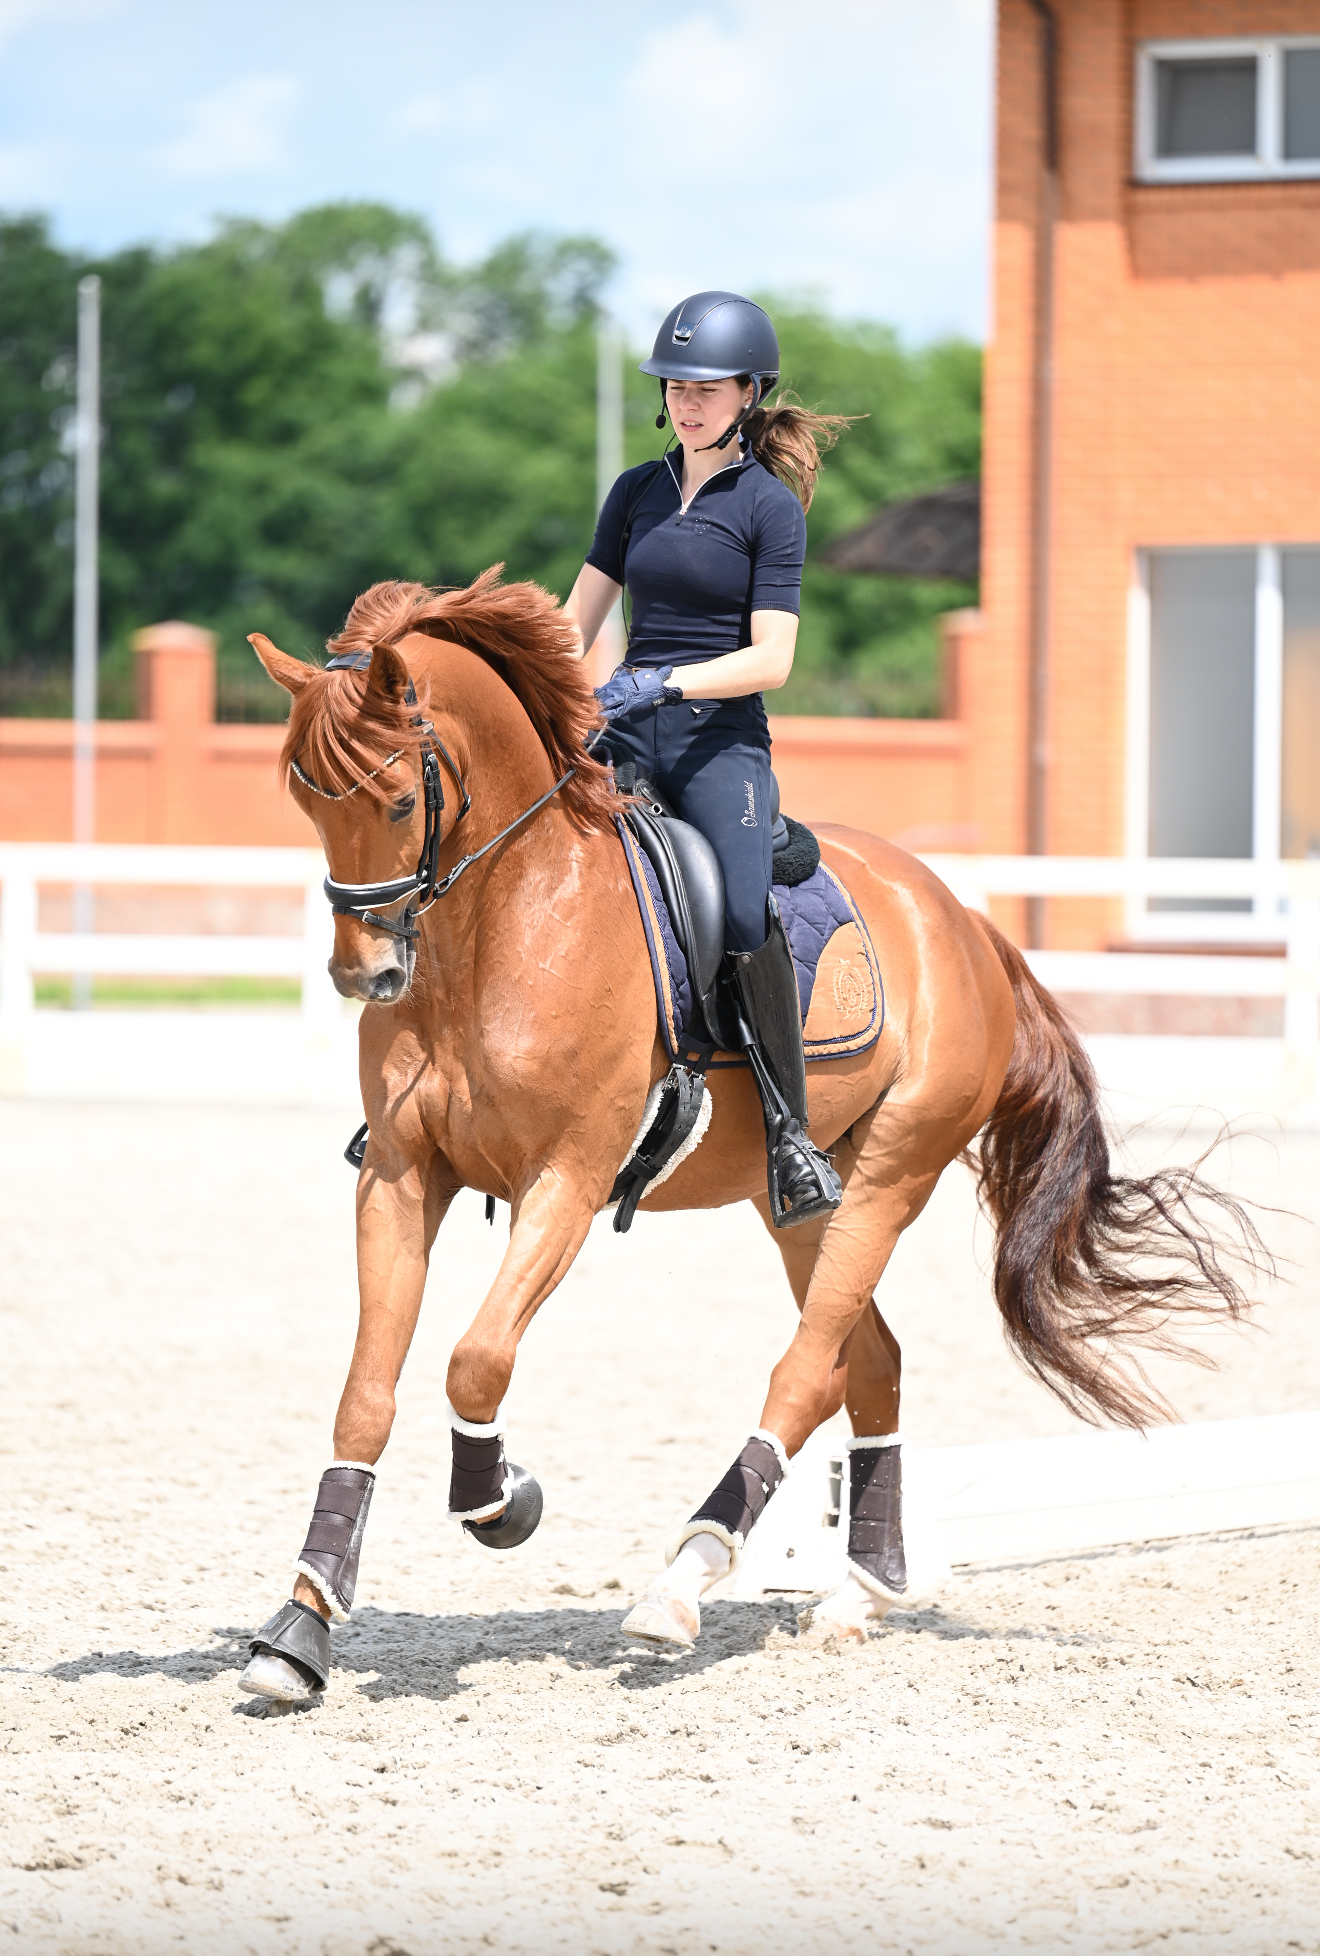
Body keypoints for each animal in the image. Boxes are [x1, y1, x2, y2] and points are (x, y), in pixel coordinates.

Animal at [239, 569, 1261, 1697]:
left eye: (399, 799)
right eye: (304, 799)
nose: (365, 974)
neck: (501, 928)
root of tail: (961, 920)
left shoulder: (569, 1177)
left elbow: (477, 1359)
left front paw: (503, 1502)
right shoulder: (401, 1173)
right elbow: (364, 1394)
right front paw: (299, 1630)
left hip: (892, 1175)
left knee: (807, 1372)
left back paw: (682, 1583)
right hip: (804, 1204)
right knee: (871, 1364)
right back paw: (860, 1593)